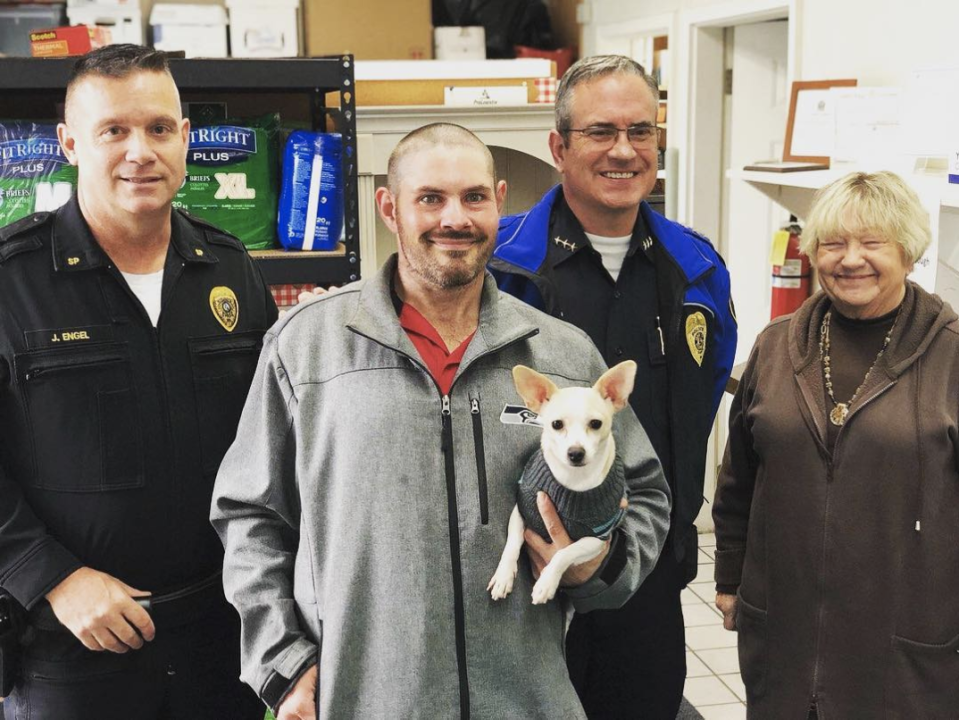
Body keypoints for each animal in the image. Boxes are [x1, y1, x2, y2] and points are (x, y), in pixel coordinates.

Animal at [492, 362, 640, 604]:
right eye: (556, 424)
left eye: (596, 424)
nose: (576, 452)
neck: (572, 481)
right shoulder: (521, 511)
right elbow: (513, 542)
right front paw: (503, 575)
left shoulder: (597, 540)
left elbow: (565, 553)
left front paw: (546, 583)